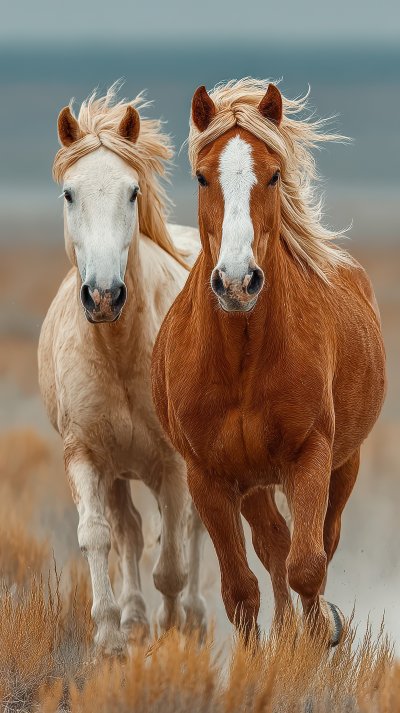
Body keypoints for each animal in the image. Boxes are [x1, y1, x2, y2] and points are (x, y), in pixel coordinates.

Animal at [38, 85, 206, 656]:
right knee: (129, 530)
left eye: (132, 192)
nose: (105, 295)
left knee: (192, 530)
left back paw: (191, 619)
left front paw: (173, 628)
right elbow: (98, 535)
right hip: (119, 469)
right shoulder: (85, 455)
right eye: (69, 194)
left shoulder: (174, 463)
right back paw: (132, 618)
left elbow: (172, 562)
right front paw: (110, 636)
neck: (120, 353)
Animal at [151, 78, 386, 646]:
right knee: (273, 544)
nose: (238, 281)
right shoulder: (209, 477)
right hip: (253, 484)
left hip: (344, 464)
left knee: (320, 540)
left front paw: (319, 638)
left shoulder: (311, 456)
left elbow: (308, 566)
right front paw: (269, 651)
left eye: (274, 174)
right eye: (201, 176)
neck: (242, 360)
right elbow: (241, 590)